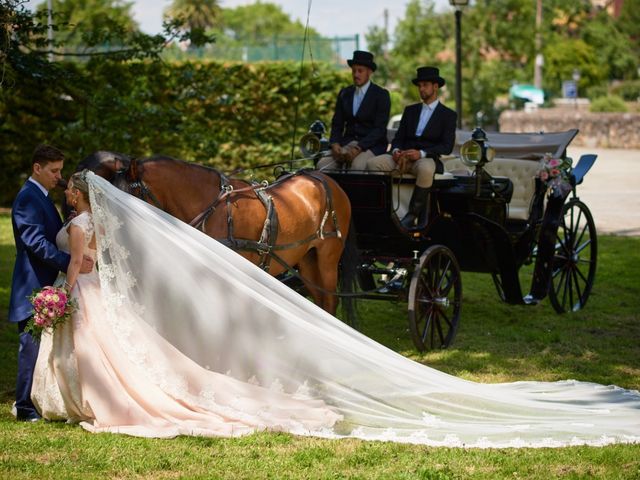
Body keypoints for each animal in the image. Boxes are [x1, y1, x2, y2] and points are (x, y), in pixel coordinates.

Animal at [81, 156, 356, 316]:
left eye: (123, 196)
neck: (212, 208)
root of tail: (325, 178)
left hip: (328, 259)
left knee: (330, 302)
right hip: (307, 262)